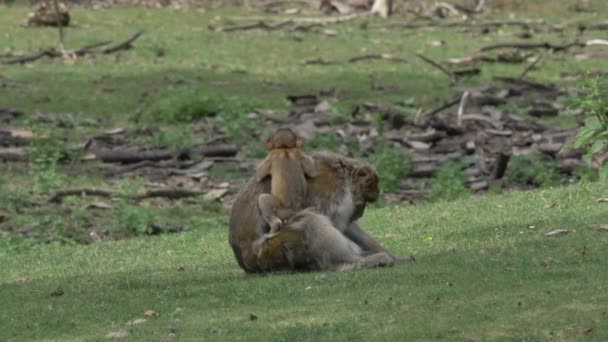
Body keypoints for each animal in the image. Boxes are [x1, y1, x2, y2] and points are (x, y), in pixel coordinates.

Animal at [228, 152, 414, 272]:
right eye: (365, 201)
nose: (359, 213)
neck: (344, 177)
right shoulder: (331, 192)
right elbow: (331, 223)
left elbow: (347, 227)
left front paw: (395, 256)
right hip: (274, 245)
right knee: (310, 221)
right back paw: (359, 261)